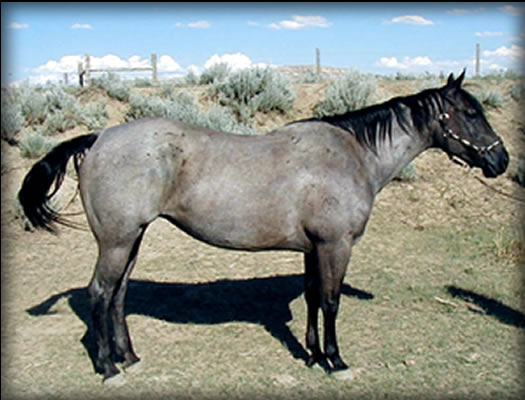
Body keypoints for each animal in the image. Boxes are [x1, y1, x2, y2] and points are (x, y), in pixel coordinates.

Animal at [17, 70, 508, 380]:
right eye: (470, 113)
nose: (501, 160)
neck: (351, 155)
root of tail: (99, 137)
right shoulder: (336, 245)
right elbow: (331, 302)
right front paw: (335, 361)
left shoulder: (313, 248)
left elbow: (312, 297)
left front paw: (312, 355)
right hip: (117, 241)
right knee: (101, 294)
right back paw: (107, 368)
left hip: (132, 239)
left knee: (118, 295)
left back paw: (130, 357)